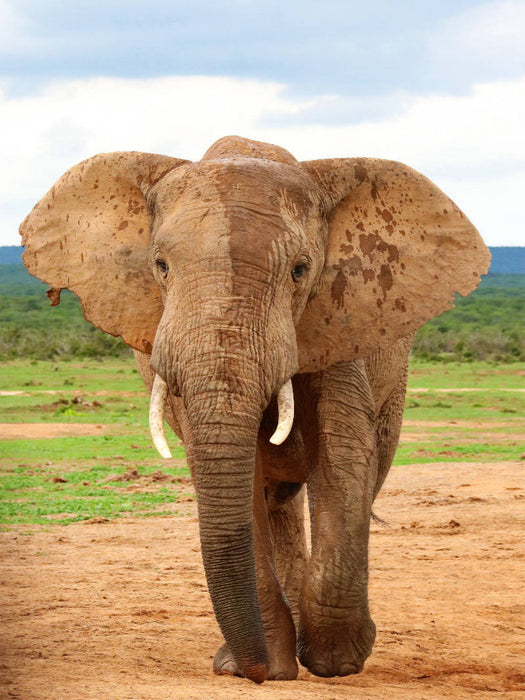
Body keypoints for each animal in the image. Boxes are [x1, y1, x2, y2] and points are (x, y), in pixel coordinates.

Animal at [20, 136, 490, 684]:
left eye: (300, 270)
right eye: (160, 266)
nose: (255, 669)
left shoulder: (335, 320)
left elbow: (345, 454)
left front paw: (337, 662)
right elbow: (237, 476)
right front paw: (264, 666)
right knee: (275, 499)